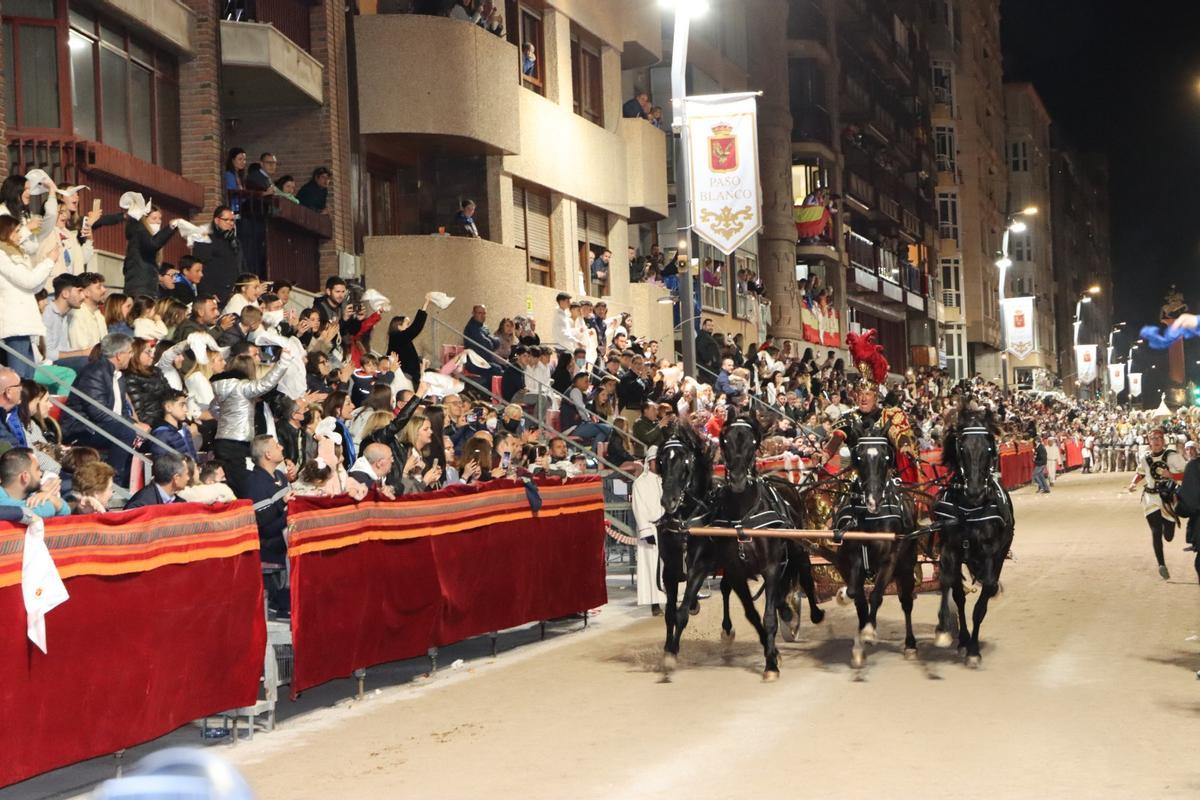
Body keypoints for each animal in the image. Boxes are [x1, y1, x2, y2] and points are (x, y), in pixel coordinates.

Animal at [835, 424, 916, 671]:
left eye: (886, 457)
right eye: (858, 457)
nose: (872, 499)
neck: (870, 517)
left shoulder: (889, 559)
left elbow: (877, 596)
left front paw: (869, 632)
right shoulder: (851, 558)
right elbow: (856, 595)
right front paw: (861, 639)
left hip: (906, 565)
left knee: (906, 602)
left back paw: (910, 645)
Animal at [926, 410, 1012, 666]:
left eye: (989, 447)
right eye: (962, 448)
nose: (975, 491)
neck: (970, 510)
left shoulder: (991, 556)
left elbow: (981, 605)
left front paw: (974, 649)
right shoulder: (950, 550)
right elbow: (950, 585)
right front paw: (945, 629)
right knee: (959, 595)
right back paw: (962, 639)